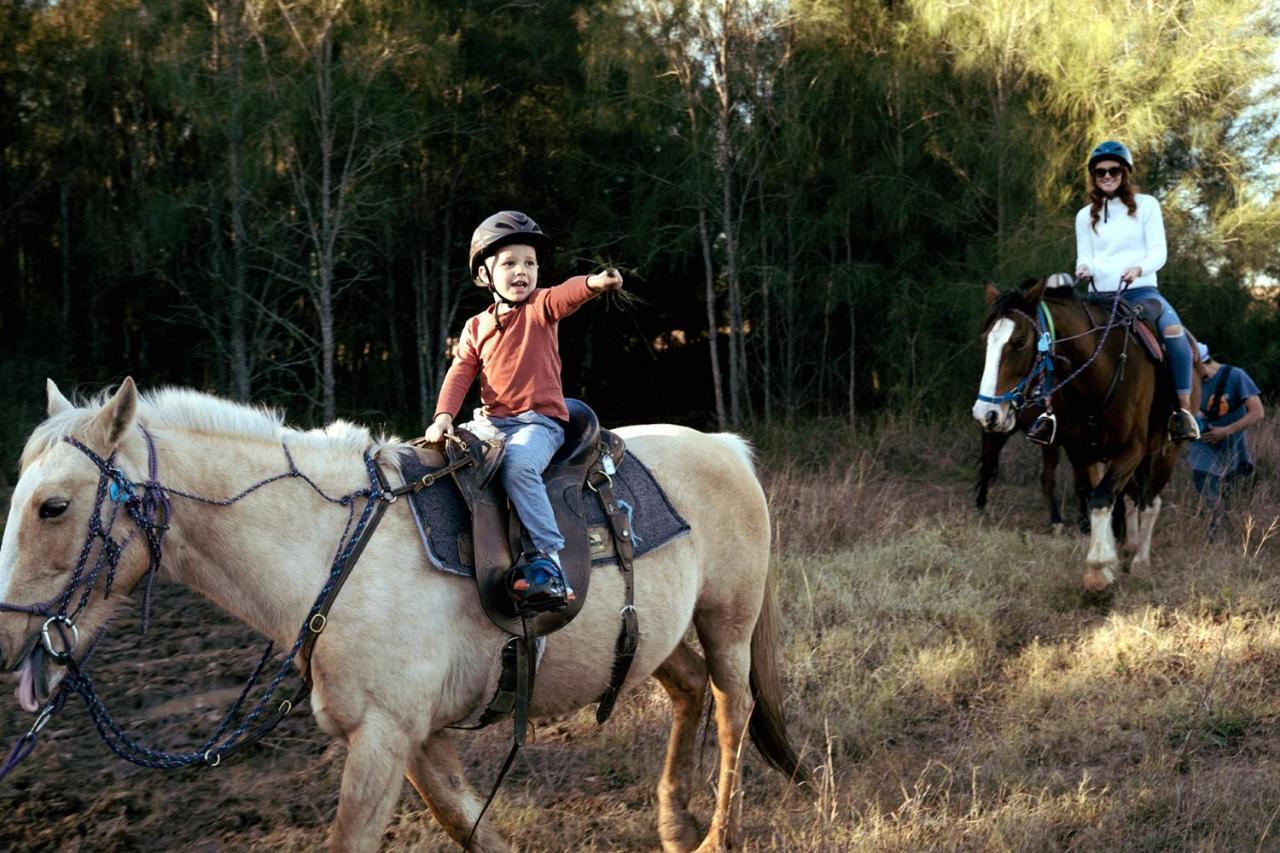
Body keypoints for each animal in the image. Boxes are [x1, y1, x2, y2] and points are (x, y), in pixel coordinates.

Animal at [0, 379, 803, 850]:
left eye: (54, 506)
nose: (7, 636)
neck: (331, 548)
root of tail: (726, 447)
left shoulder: (384, 737)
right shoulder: (416, 739)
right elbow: (468, 825)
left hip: (728, 621)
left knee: (732, 707)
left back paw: (716, 835)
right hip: (650, 640)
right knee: (690, 692)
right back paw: (675, 822)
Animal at [972, 275, 1192, 589]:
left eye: (1020, 342)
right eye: (986, 340)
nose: (985, 412)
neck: (1100, 372)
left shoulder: (1130, 450)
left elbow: (1101, 498)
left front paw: (1098, 569)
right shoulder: (1081, 451)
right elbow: (1092, 494)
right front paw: (1106, 555)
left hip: (1166, 451)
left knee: (1150, 501)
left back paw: (1139, 561)